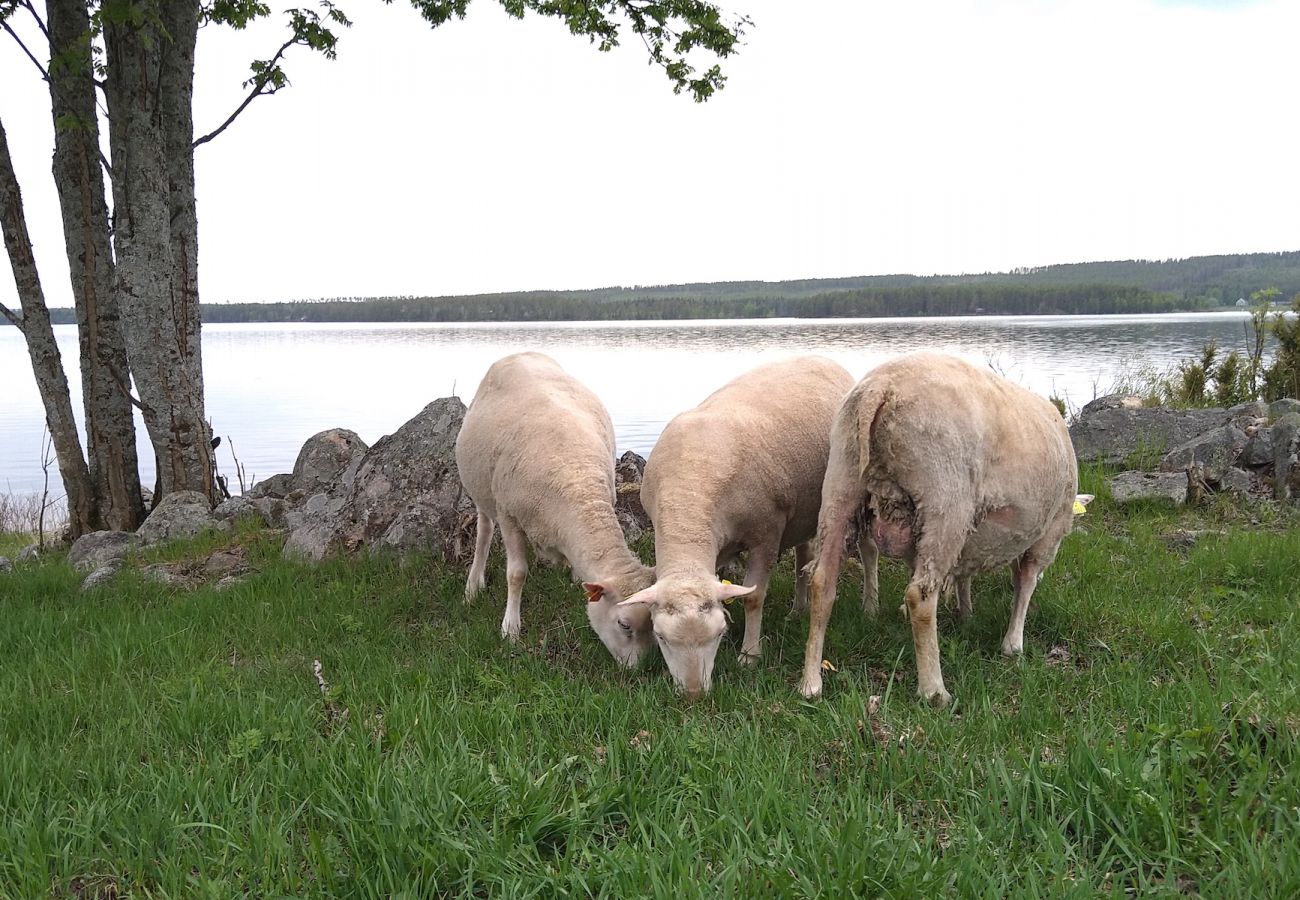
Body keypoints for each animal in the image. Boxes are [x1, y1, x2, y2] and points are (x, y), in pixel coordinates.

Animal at [457, 351, 660, 665]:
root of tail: (519, 353)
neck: (577, 484)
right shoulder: (509, 515)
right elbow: (516, 574)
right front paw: (510, 629)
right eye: (624, 624)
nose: (637, 669)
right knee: (484, 530)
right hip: (482, 490)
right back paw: (473, 586)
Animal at [616, 356, 857, 691]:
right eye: (661, 637)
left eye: (719, 634)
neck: (689, 493)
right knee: (803, 555)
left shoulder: (766, 534)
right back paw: (797, 610)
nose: (693, 694)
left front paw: (749, 655)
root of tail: (822, 358)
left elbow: (754, 597)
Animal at [795, 348, 1081, 707]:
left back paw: (811, 683)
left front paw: (966, 614)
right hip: (945, 499)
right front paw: (1013, 644)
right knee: (920, 595)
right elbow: (1025, 582)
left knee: (823, 582)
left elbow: (962, 574)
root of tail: (880, 389)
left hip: (841, 484)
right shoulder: (1050, 531)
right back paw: (934, 690)